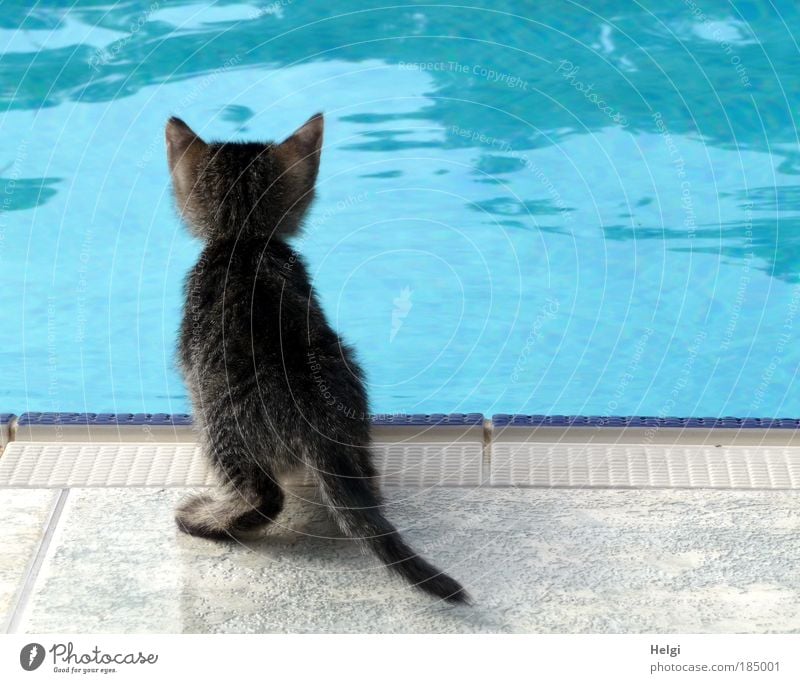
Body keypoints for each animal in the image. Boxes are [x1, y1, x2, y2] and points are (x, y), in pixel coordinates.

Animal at [167, 112, 468, 604]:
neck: (245, 242)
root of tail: (315, 414)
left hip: (218, 419)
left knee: (263, 498)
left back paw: (206, 520)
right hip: (348, 374)